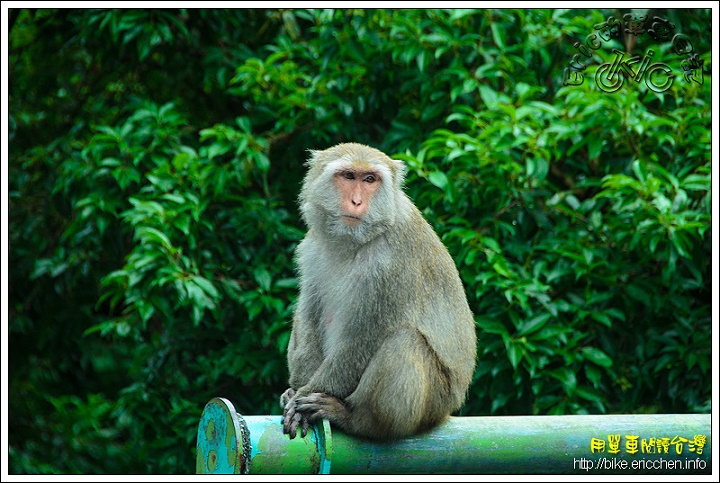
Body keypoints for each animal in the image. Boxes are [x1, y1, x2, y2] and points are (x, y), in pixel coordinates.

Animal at [282, 142, 478, 440]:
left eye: (370, 179)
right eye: (348, 176)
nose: (356, 202)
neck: (356, 241)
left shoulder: (391, 263)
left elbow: (365, 338)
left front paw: (305, 396)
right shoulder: (311, 247)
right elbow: (309, 311)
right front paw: (296, 389)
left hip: (434, 401)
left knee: (404, 341)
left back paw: (357, 420)